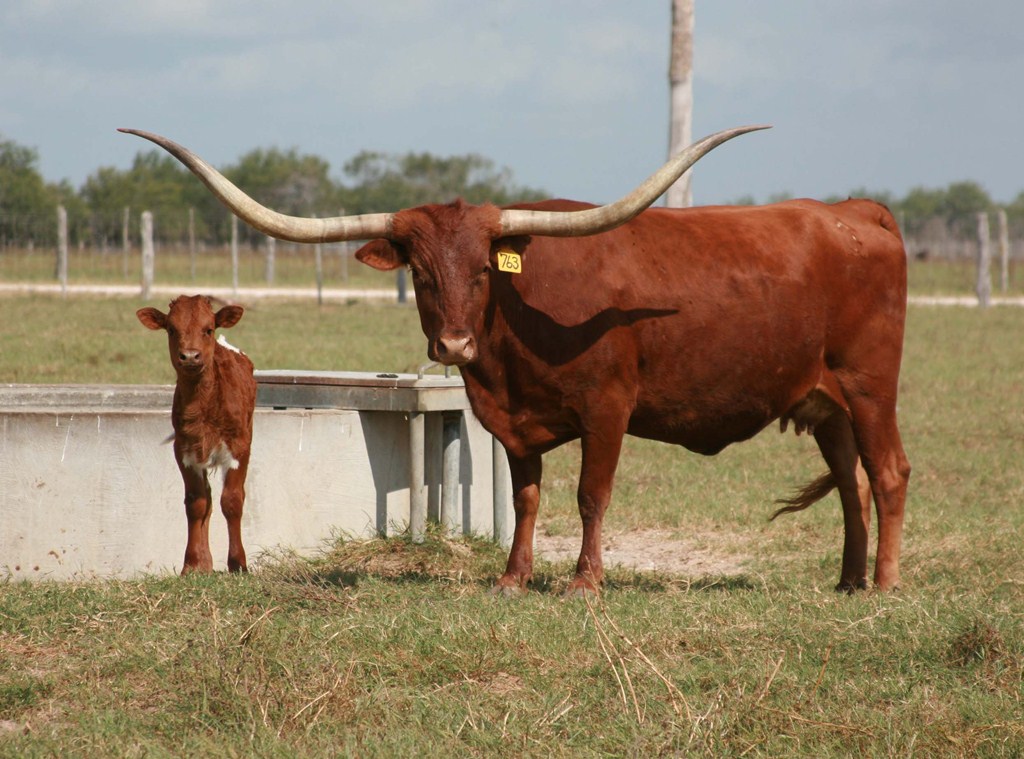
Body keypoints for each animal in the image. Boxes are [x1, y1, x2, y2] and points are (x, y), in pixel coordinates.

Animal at [136, 295, 257, 575]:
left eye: (208, 329)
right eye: (171, 329)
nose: (190, 356)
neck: (204, 404)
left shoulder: (238, 447)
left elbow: (232, 501)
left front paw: (238, 564)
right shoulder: (184, 450)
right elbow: (196, 503)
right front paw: (192, 563)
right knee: (208, 500)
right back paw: (206, 562)